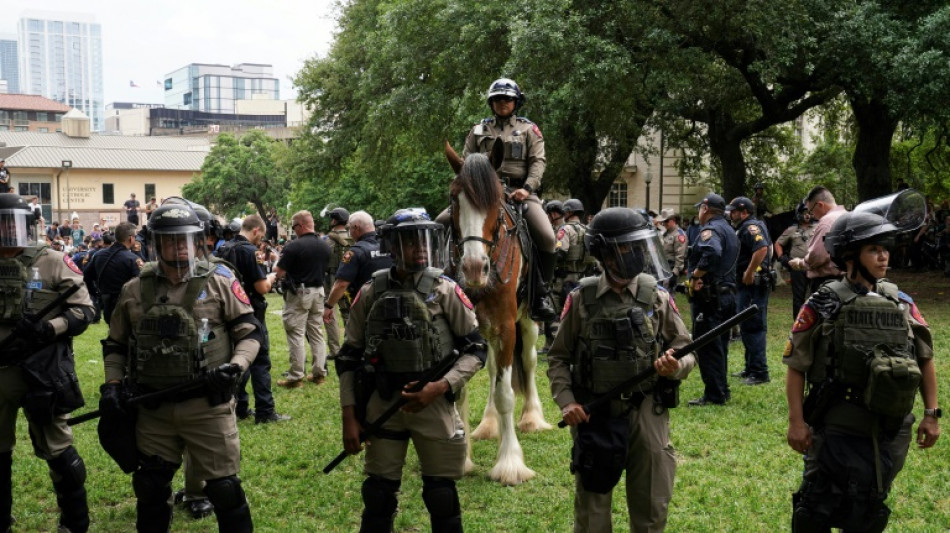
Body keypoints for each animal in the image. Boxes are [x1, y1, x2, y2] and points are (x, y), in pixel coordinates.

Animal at [448, 142, 556, 486]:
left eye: (496, 201)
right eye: (454, 199)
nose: (473, 268)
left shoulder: (508, 328)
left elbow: (506, 395)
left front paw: (510, 463)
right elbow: (460, 390)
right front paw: (461, 459)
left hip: (527, 322)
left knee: (529, 363)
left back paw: (532, 417)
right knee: (495, 369)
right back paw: (488, 424)